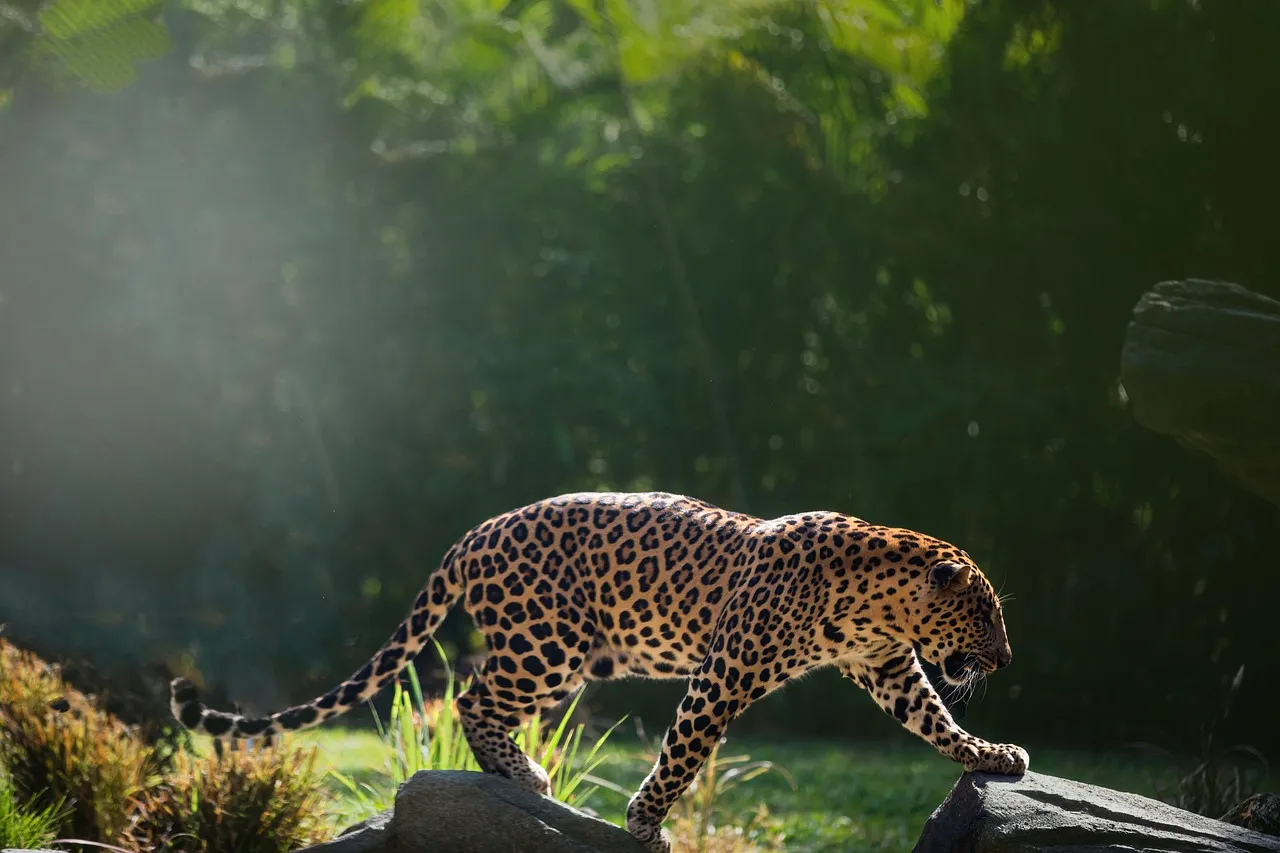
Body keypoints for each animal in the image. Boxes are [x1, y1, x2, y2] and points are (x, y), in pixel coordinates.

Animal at [170, 491, 1028, 852]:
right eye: (986, 614)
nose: (1007, 657)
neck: (876, 603)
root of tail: (472, 532)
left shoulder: (888, 668)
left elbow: (938, 720)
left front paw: (993, 754)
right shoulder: (724, 673)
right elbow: (682, 754)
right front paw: (645, 822)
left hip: (547, 649)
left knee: (472, 693)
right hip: (551, 646)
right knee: (471, 696)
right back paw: (526, 775)